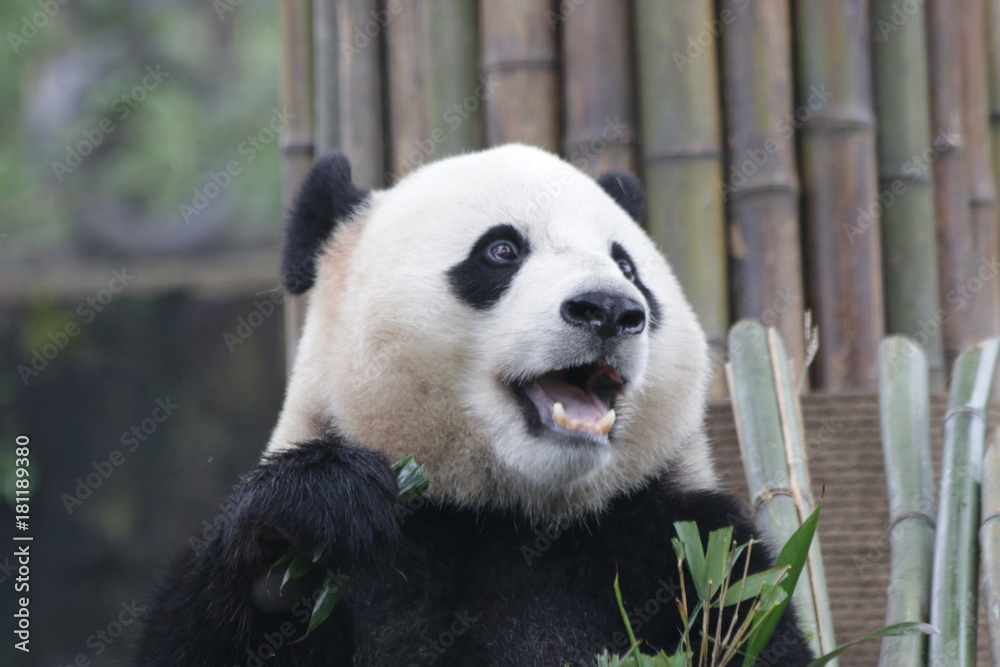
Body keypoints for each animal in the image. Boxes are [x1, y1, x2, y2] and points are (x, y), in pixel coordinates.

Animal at [135, 144, 813, 665]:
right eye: (501, 251)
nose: (609, 309)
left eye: (627, 266)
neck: (514, 514)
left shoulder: (688, 550)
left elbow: (753, 625)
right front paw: (297, 534)